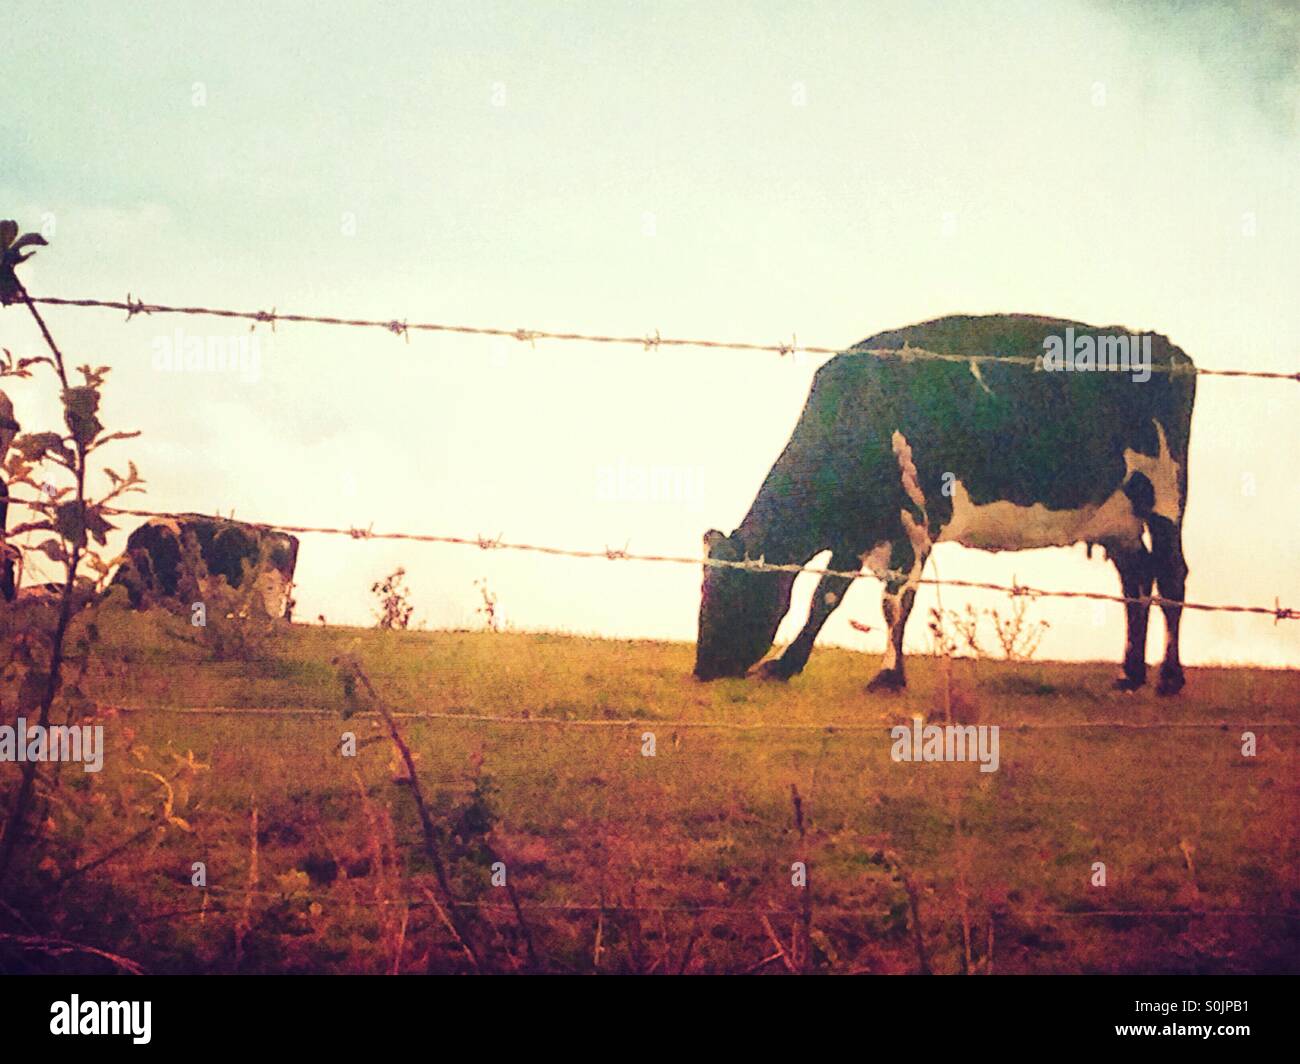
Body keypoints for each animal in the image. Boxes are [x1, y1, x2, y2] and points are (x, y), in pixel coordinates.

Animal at [694, 314, 1196, 695]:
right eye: (704, 589)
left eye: (730, 590)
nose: (703, 668)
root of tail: (1163, 345)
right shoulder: (861, 528)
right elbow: (826, 597)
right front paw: (786, 664)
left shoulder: (915, 522)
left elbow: (895, 601)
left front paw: (889, 675)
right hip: (1118, 519)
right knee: (1136, 580)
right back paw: (1129, 674)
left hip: (1165, 496)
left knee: (1171, 575)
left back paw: (1169, 679)